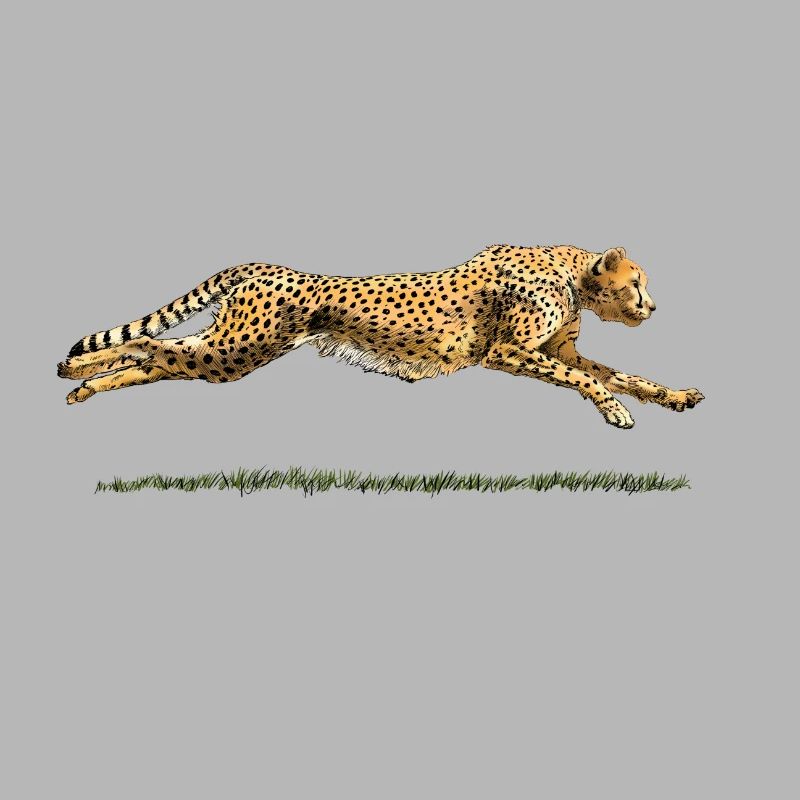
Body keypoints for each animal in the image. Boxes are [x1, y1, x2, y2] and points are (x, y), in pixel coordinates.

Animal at [57, 244, 704, 428]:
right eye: (637, 283)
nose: (653, 307)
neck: (573, 274)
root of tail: (264, 265)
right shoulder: (506, 351)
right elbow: (580, 378)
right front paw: (616, 412)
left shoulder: (554, 349)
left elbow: (619, 374)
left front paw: (673, 396)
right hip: (237, 350)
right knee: (151, 346)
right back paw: (73, 369)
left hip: (228, 354)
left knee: (160, 359)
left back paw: (80, 386)